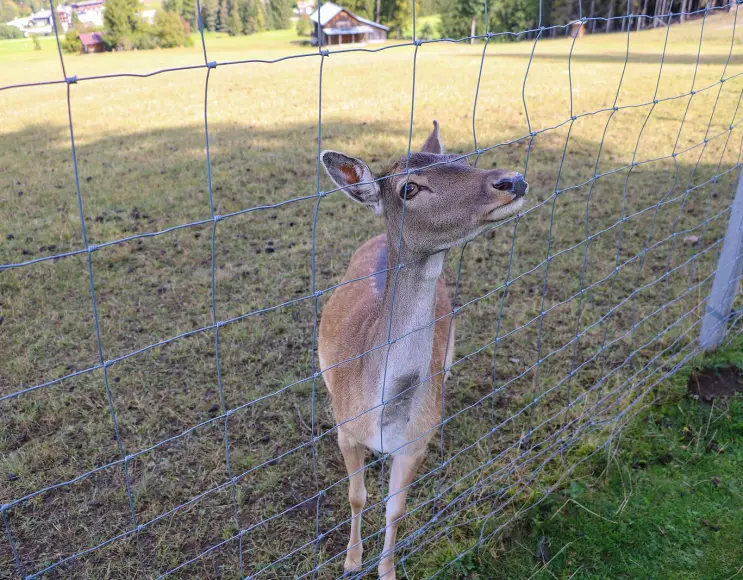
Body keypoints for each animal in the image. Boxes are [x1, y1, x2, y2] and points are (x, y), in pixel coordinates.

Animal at [320, 120, 528, 576]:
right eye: (409, 189)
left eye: (458, 159)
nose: (513, 180)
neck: (385, 413)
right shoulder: (345, 429)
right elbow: (357, 497)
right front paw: (351, 561)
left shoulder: (416, 441)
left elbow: (395, 510)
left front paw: (387, 570)